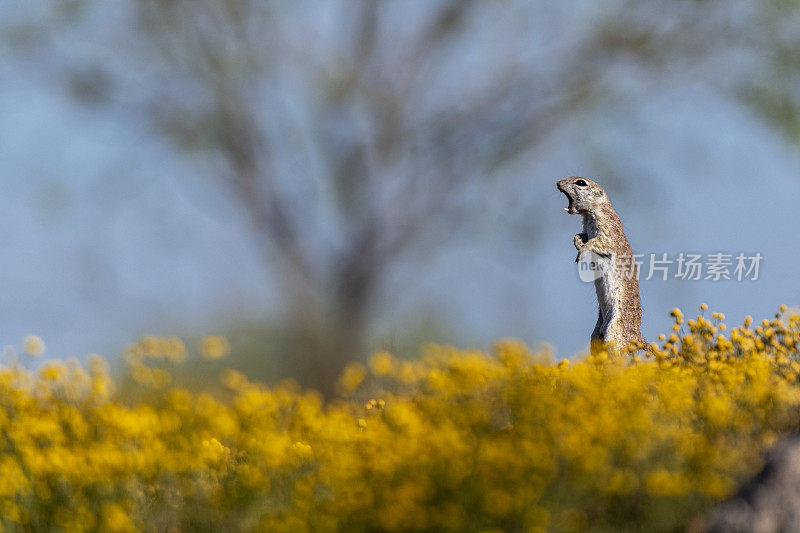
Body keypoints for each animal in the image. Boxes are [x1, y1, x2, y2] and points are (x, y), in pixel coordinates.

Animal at [556, 175, 648, 350]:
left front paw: (582, 252)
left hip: (614, 332)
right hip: (595, 336)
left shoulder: (607, 232)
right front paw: (578, 243)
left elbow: (597, 242)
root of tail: (637, 337)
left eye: (580, 183)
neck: (591, 214)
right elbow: (580, 235)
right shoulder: (586, 229)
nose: (558, 183)